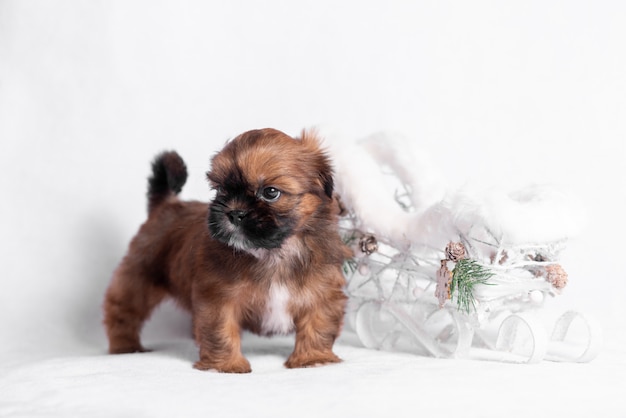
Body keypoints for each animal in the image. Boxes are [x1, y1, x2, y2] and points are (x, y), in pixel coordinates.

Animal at [105, 127, 354, 372]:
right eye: (222, 190)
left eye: (270, 192)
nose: (235, 212)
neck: (273, 252)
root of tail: (167, 204)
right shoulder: (218, 298)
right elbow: (220, 331)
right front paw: (226, 364)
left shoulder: (322, 292)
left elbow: (317, 325)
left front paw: (313, 358)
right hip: (139, 278)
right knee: (123, 311)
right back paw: (125, 347)